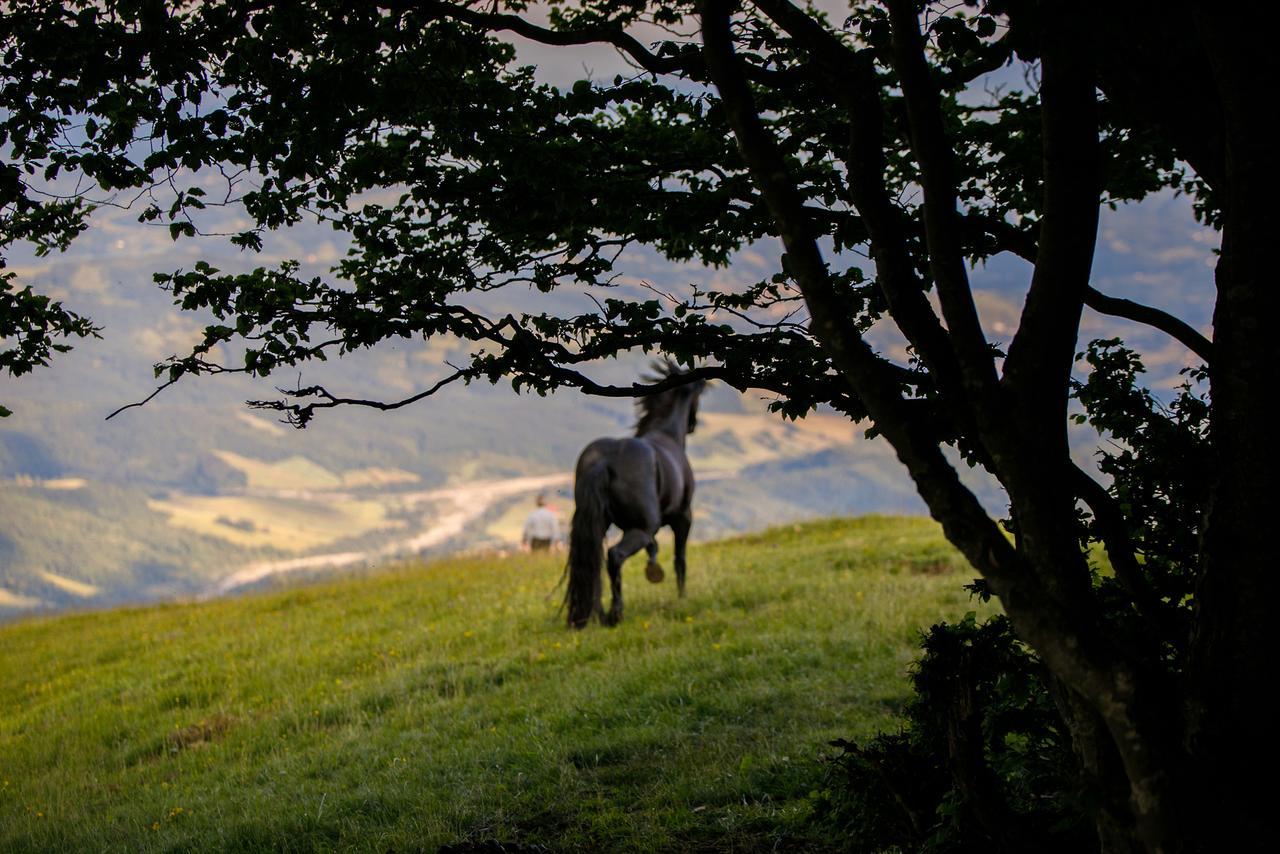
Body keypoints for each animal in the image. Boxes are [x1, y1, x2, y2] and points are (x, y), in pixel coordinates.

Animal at [565, 366, 706, 627]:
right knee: (615, 556)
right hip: (642, 528)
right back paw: (615, 613)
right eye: (698, 396)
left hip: (595, 525)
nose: (693, 424)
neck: (667, 435)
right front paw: (683, 597)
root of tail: (605, 460)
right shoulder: (683, 517)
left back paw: (596, 615)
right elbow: (680, 559)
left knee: (593, 562)